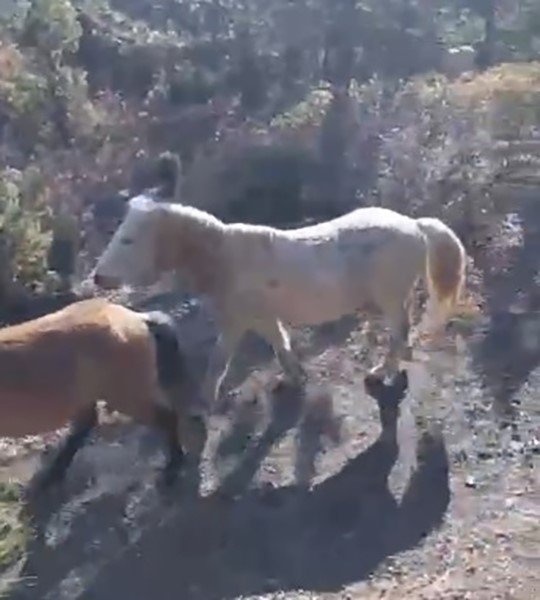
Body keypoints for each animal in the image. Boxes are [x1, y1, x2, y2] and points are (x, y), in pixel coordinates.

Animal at [0, 298, 207, 494]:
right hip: (96, 397)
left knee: (166, 418)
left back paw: (172, 469)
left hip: (126, 396)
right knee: (84, 427)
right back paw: (51, 477)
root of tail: (139, 318)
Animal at [93, 195, 464, 406]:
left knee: (399, 332)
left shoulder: (237, 321)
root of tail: (415, 225)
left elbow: (218, 361)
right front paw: (293, 379)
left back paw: (379, 372)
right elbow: (281, 345)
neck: (225, 259)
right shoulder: (263, 318)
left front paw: (204, 402)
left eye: (127, 239)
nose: (98, 277)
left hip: (390, 298)